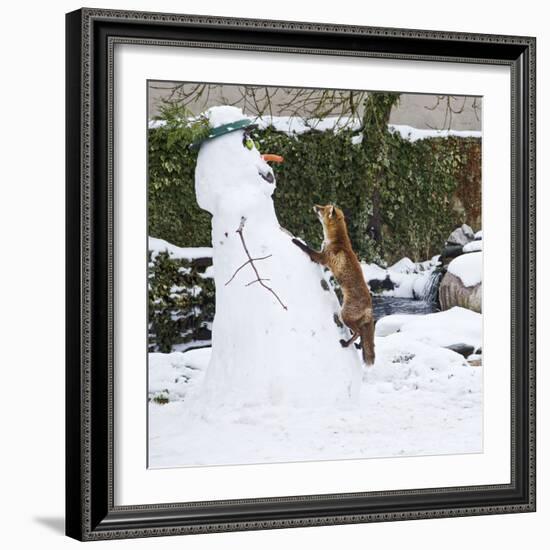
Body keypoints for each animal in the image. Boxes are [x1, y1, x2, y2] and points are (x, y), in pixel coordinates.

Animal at [292, 206, 378, 366]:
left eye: (322, 209)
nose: (314, 205)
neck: (337, 241)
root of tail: (369, 307)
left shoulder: (322, 258)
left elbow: (307, 249)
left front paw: (296, 240)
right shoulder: (321, 256)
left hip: (344, 315)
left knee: (358, 333)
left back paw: (346, 343)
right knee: (360, 334)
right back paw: (357, 345)